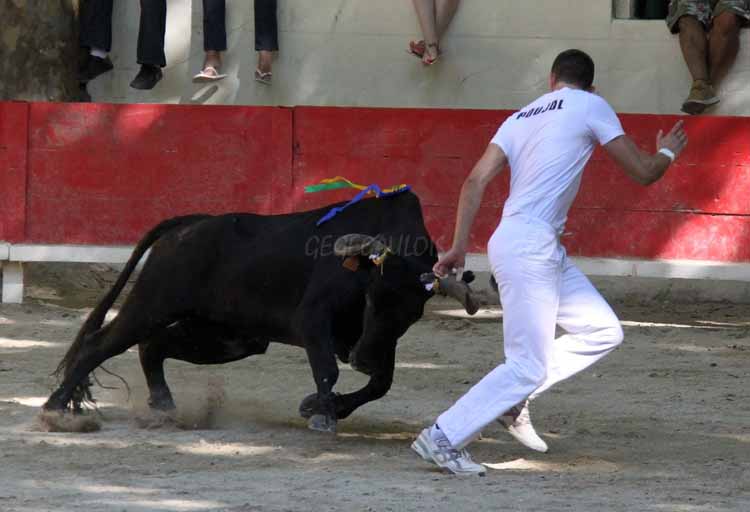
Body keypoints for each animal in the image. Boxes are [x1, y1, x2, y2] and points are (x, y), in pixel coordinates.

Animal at [44, 192, 478, 432]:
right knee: (101, 345)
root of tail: (189, 226)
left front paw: (323, 406)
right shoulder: (313, 320)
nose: (363, 359)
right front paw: (322, 413)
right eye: (372, 296)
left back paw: (165, 407)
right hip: (153, 303)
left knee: (154, 345)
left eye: (412, 314)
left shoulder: (378, 340)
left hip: (228, 336)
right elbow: (329, 370)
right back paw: (54, 410)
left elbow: (380, 384)